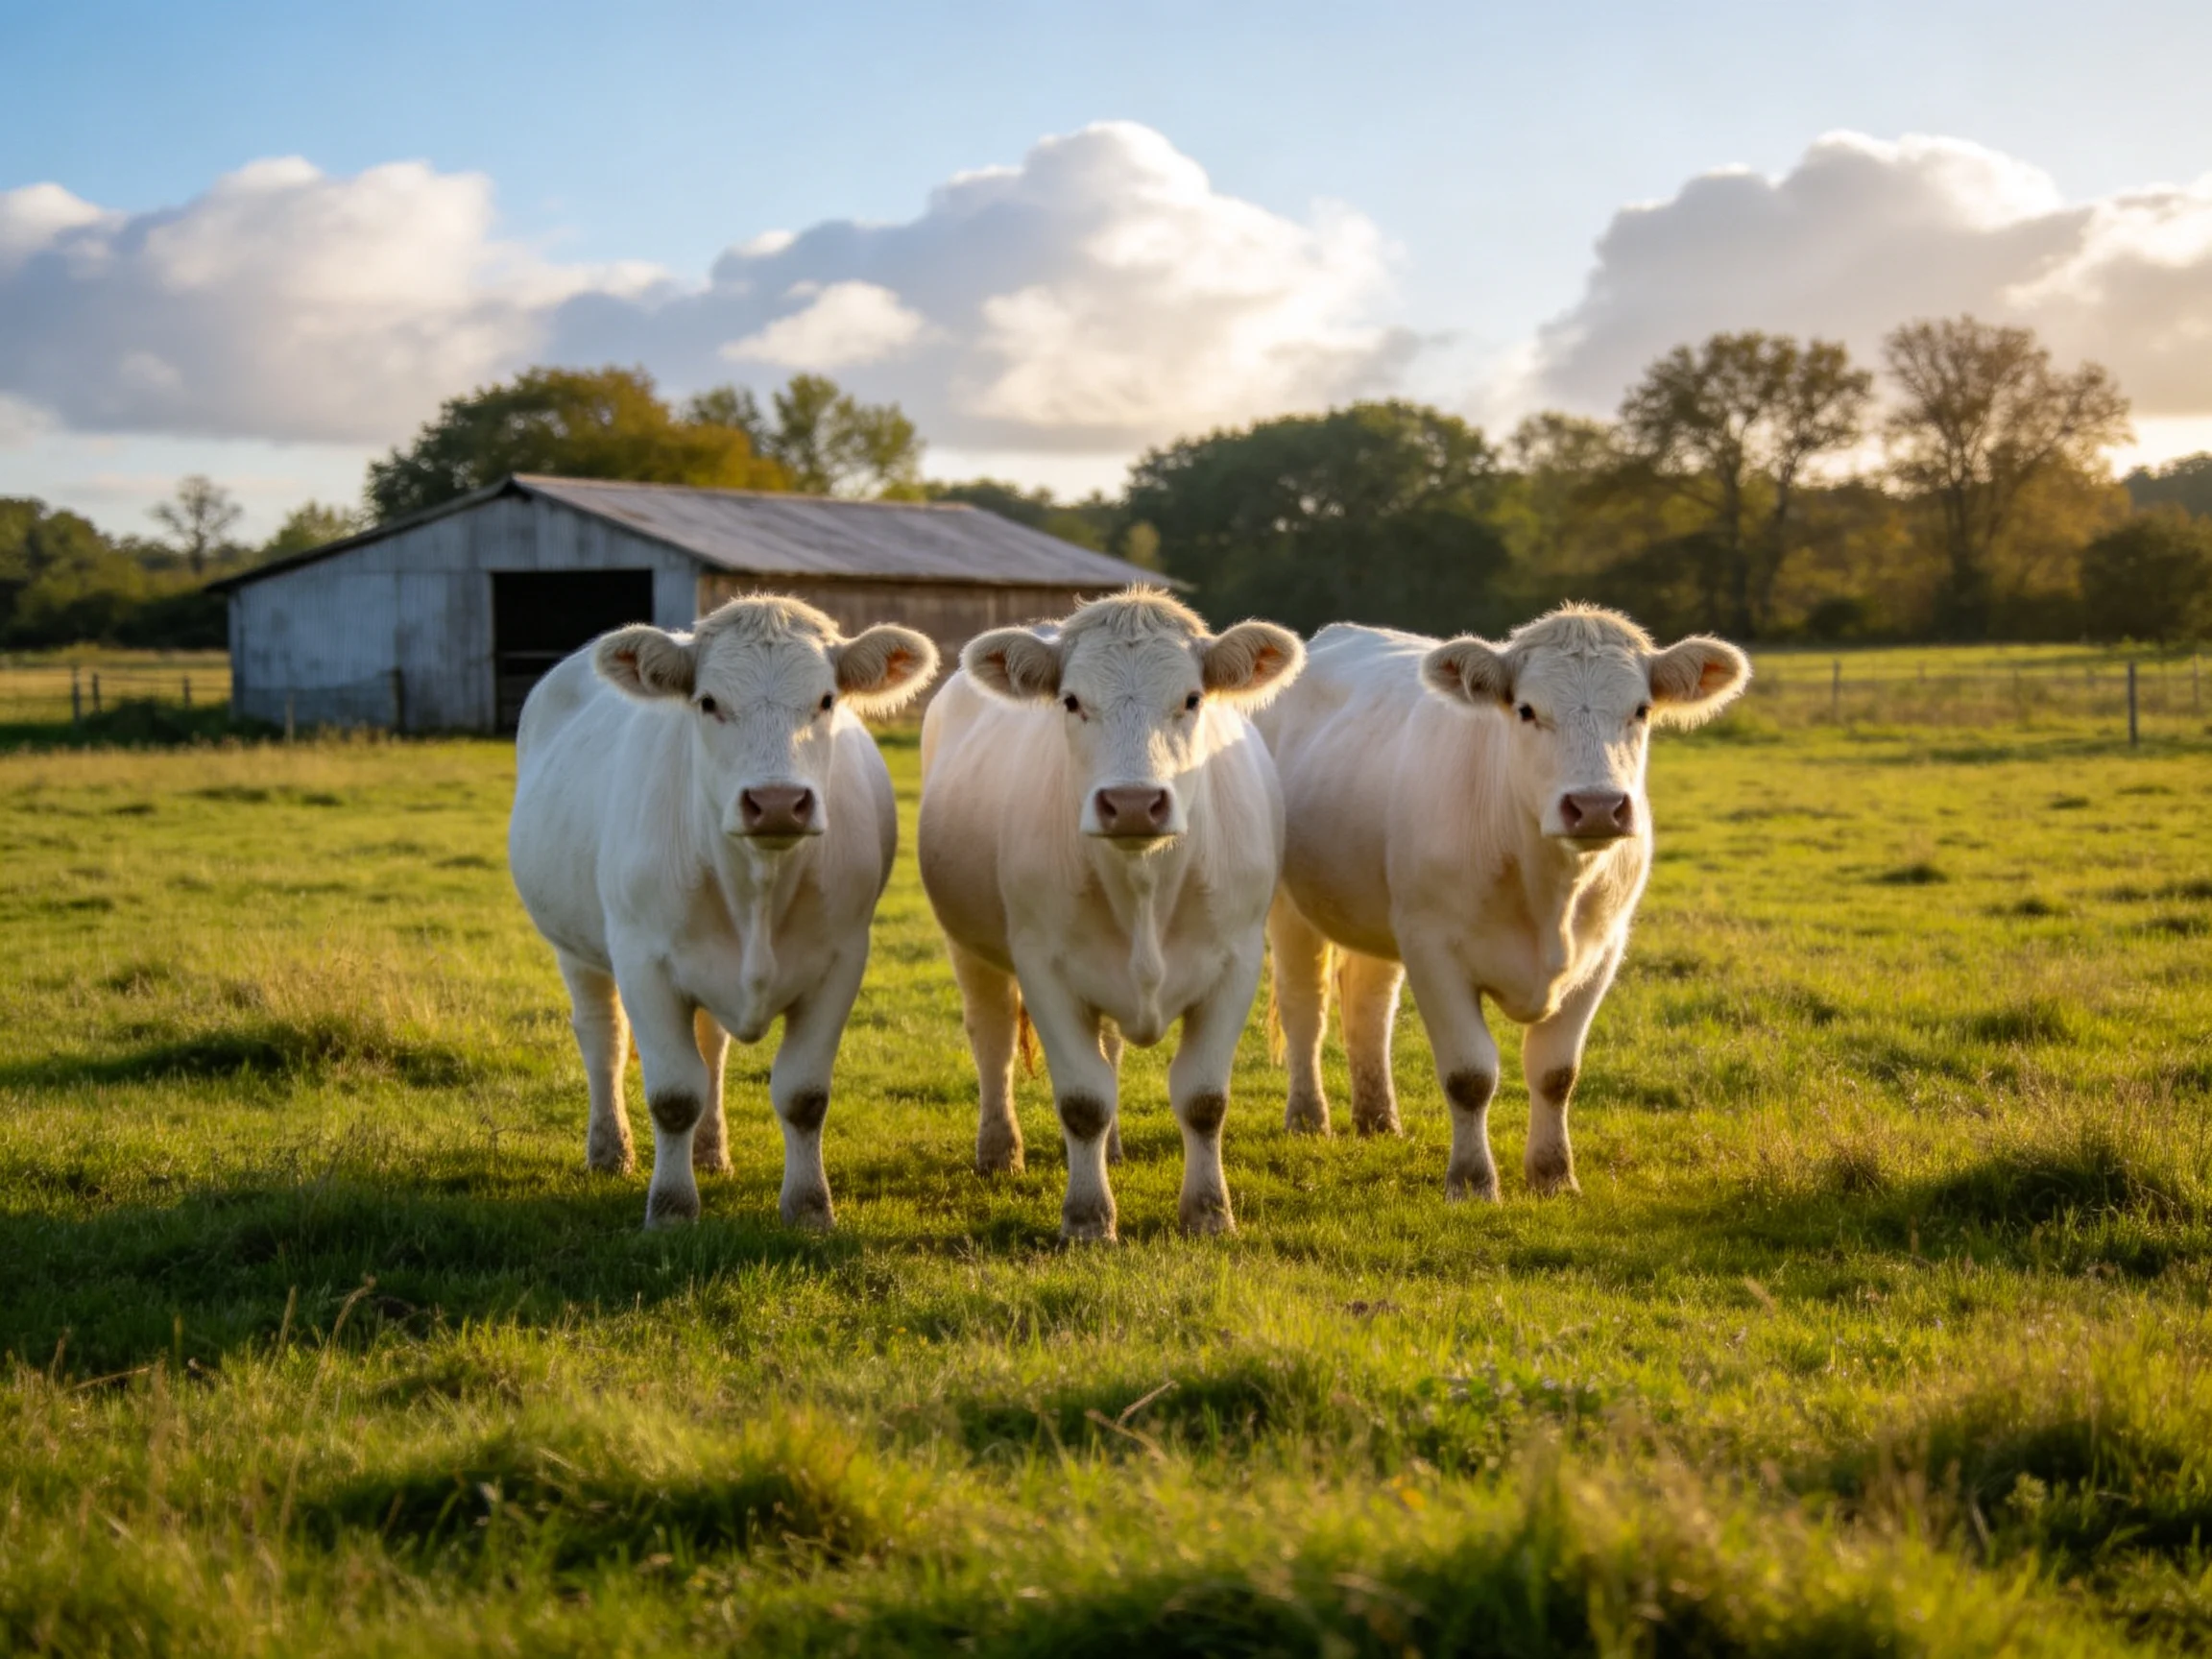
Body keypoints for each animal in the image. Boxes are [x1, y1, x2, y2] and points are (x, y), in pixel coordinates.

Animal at [508, 594, 937, 1230]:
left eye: (826, 700)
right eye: (708, 702)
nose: (778, 802)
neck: (756, 885)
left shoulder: (841, 961)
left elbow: (803, 1096)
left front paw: (810, 1207)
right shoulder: (643, 962)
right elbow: (672, 1095)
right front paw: (670, 1208)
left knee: (710, 1047)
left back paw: (710, 1152)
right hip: (574, 947)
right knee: (602, 1036)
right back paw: (610, 1150)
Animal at [918, 588, 1305, 1242]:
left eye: (1192, 698)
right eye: (1072, 701)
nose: (1131, 802)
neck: (1144, 885)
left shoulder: (1238, 961)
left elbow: (1203, 1098)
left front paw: (1209, 1212)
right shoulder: (1043, 966)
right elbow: (1082, 1100)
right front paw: (1087, 1217)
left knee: (1109, 1050)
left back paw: (1115, 1149)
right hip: (969, 948)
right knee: (993, 1040)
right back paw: (999, 1151)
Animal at [1255, 605, 1748, 1200]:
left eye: (1641, 709)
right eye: (1527, 710)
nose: (1597, 805)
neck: (1549, 893)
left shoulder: (1603, 951)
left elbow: (1556, 1073)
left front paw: (1554, 1175)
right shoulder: (1433, 947)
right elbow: (1470, 1076)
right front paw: (1472, 1182)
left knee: (1369, 1003)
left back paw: (1378, 1119)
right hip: (1289, 905)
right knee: (1306, 1005)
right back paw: (1308, 1119)